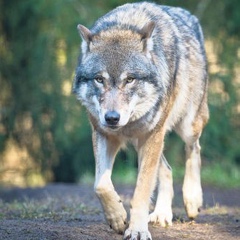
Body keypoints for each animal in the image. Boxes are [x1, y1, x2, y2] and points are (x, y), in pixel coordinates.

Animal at [72, 2, 208, 240]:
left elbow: (141, 191)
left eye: (130, 79)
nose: (112, 118)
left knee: (194, 149)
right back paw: (162, 213)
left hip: (185, 126)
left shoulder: (151, 135)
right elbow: (100, 185)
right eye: (99, 79)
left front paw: (137, 230)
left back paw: (192, 200)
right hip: (143, 140)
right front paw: (117, 217)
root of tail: (188, 15)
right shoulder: (103, 134)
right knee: (167, 169)